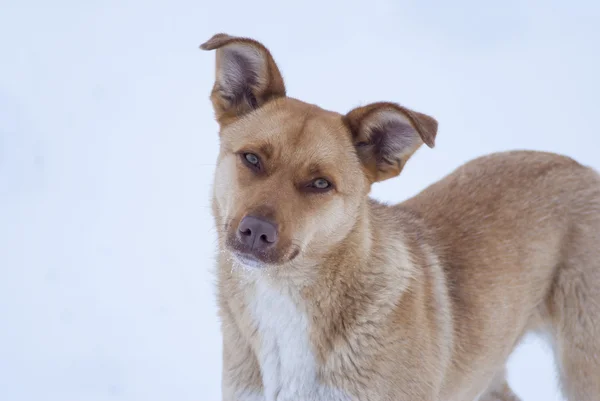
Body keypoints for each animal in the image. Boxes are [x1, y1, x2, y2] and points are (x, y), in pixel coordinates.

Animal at [200, 32, 600, 398]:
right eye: (252, 158)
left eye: (320, 183)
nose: (256, 231)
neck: (282, 299)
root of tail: (583, 169)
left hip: (583, 364)